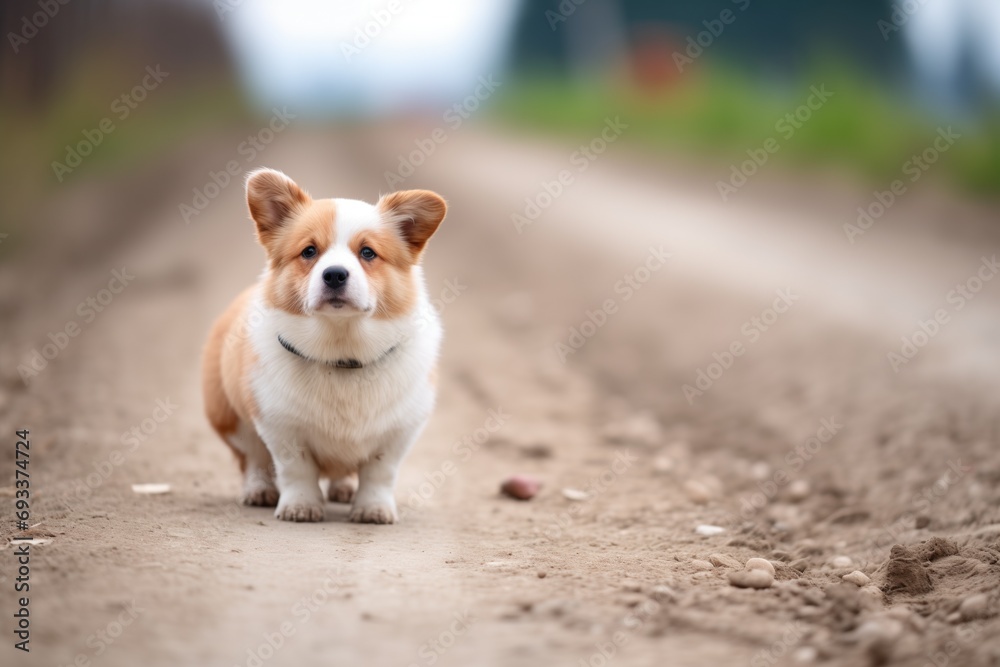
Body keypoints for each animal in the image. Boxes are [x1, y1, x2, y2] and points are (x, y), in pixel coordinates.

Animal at [201, 166, 448, 520]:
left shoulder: (399, 432)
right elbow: (297, 470)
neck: (341, 351)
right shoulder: (281, 426)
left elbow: (379, 473)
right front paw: (300, 507)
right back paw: (259, 490)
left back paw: (343, 489)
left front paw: (373, 510)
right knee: (252, 459)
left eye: (368, 252)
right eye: (309, 251)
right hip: (230, 418)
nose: (334, 275)